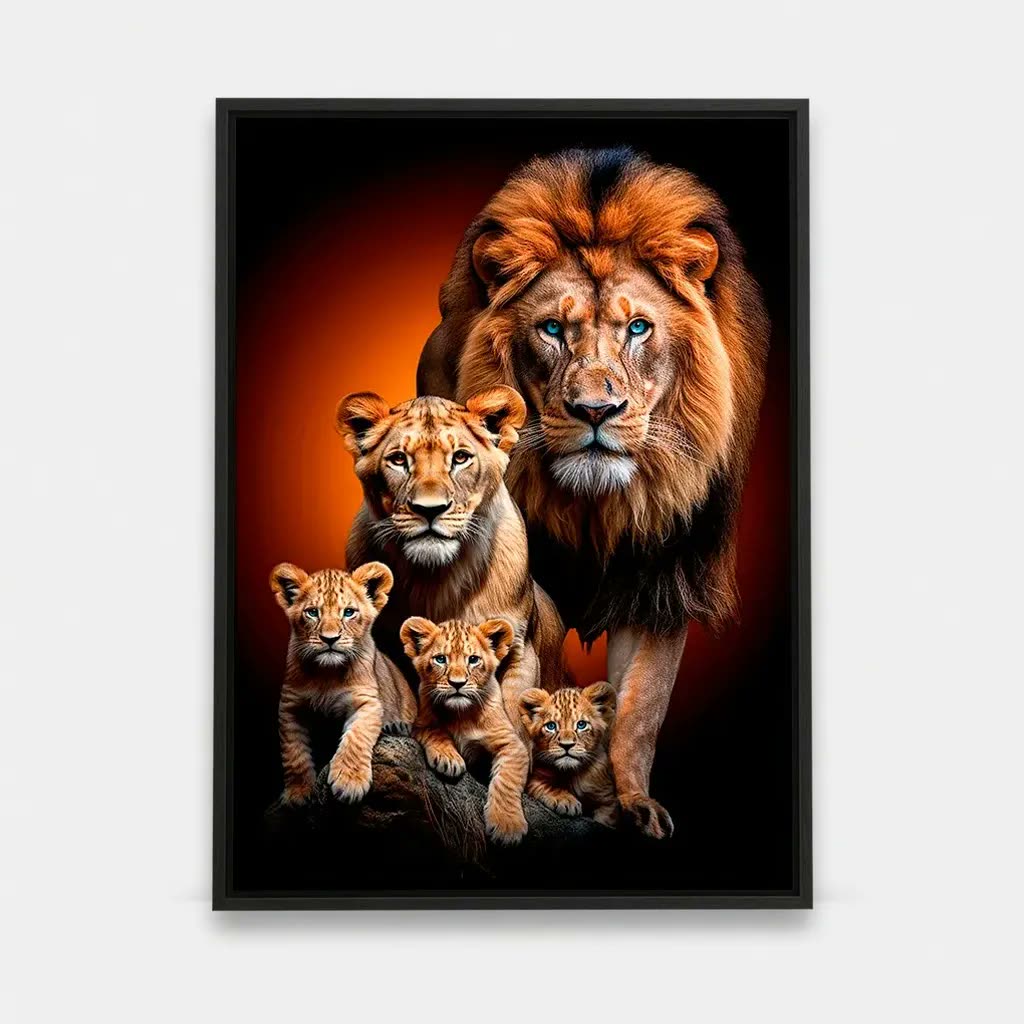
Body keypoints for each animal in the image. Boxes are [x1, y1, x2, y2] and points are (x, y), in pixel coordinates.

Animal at [270, 561, 417, 805]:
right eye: (312, 612)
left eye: (348, 612)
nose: (330, 639)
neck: (326, 675)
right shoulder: (290, 707)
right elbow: (293, 752)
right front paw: (298, 793)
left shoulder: (368, 703)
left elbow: (356, 738)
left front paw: (349, 783)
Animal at [336, 386, 567, 727]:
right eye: (398, 459)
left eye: (460, 458)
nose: (429, 509)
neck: (436, 577)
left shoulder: (520, 649)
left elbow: (515, 710)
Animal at [401, 615, 529, 845]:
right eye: (440, 659)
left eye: (473, 659)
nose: (457, 683)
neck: (460, 714)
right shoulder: (420, 724)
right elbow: (436, 731)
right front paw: (449, 759)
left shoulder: (512, 744)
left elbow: (506, 781)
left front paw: (507, 826)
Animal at [417, 147, 770, 838]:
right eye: (553, 328)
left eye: (638, 328)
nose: (596, 410)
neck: (594, 508)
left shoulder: (662, 579)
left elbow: (639, 710)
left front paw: (628, 802)